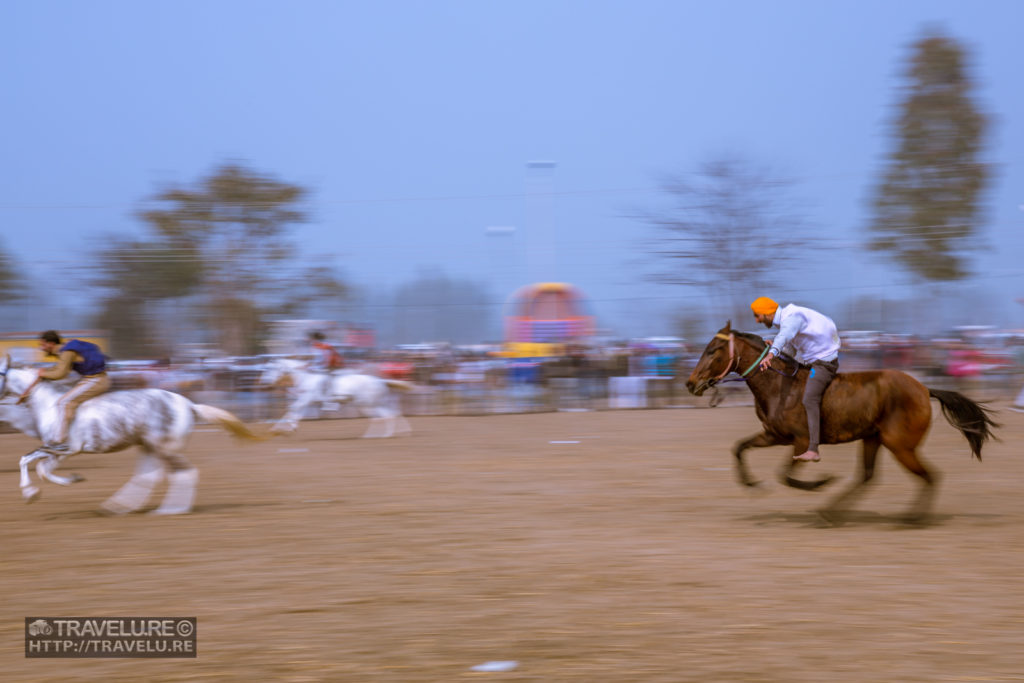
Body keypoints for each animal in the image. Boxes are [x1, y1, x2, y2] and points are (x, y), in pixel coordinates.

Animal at [1, 356, 264, 516]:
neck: (49, 404)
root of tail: (189, 405)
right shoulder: (57, 451)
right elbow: (35, 465)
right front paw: (42, 489)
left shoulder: (63, 449)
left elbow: (37, 466)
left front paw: (39, 491)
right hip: (148, 446)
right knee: (149, 476)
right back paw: (118, 507)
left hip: (165, 448)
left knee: (185, 473)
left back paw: (169, 510)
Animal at [258, 358, 413, 438]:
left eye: (270, 368)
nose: (264, 382)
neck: (306, 379)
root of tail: (379, 381)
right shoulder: (308, 402)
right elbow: (294, 411)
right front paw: (284, 429)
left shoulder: (306, 399)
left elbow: (293, 409)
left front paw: (286, 428)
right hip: (373, 404)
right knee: (389, 414)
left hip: (368, 404)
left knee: (383, 416)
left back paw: (379, 435)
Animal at [684, 323, 995, 528]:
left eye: (713, 350)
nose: (690, 383)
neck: (778, 386)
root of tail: (923, 388)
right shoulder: (774, 435)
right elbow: (739, 448)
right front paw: (752, 484)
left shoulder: (800, 440)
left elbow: (785, 476)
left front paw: (821, 482)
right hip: (874, 439)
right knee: (868, 477)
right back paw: (833, 512)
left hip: (900, 445)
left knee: (930, 476)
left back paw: (912, 518)